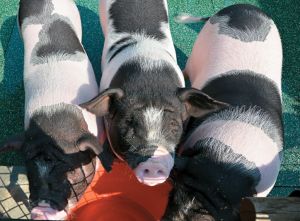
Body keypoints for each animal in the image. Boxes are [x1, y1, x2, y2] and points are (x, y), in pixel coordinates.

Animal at [164, 3, 284, 221]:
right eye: (173, 195)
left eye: (210, 214)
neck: (226, 160)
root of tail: (245, 6)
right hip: (200, 46)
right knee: (187, 69)